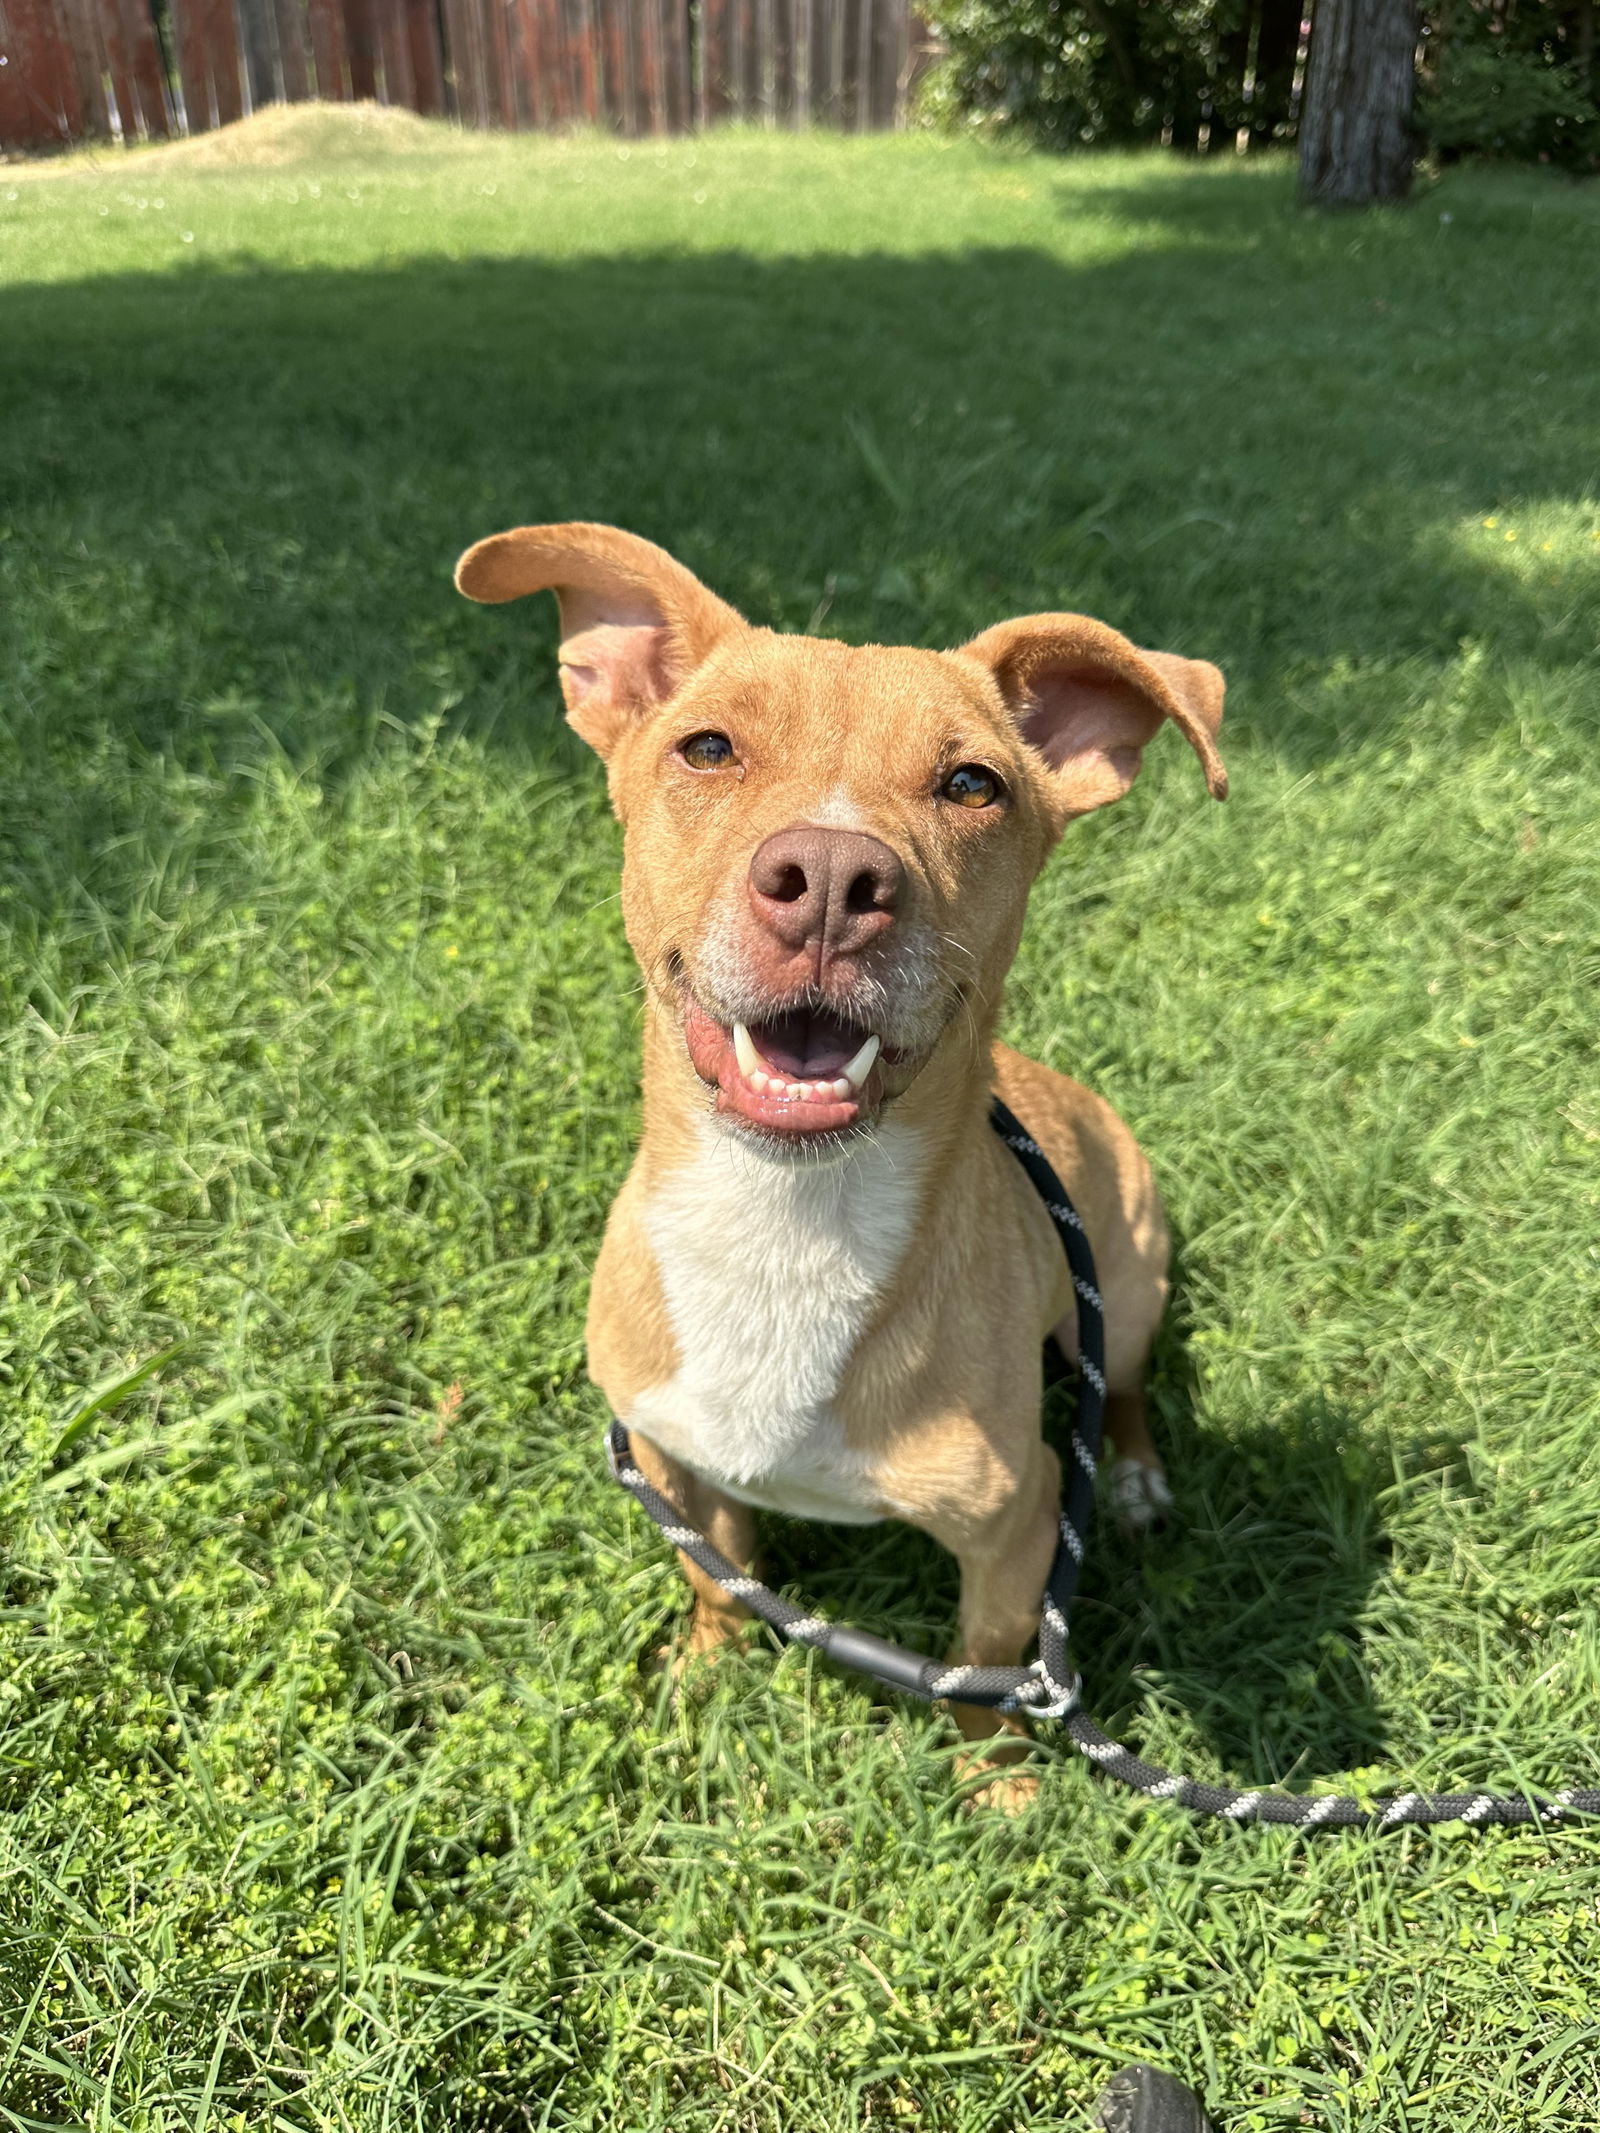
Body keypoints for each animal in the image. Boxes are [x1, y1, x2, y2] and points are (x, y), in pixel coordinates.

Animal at [456, 524, 1237, 1808]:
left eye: (972, 784)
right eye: (706, 748)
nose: (830, 879)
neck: (785, 1219)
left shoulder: (1018, 1526)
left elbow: (986, 1670)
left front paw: (1000, 1788)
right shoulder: (672, 1464)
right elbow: (717, 1579)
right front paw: (706, 1677)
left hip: (1126, 1289)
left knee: (1119, 1393)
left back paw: (1132, 1481)